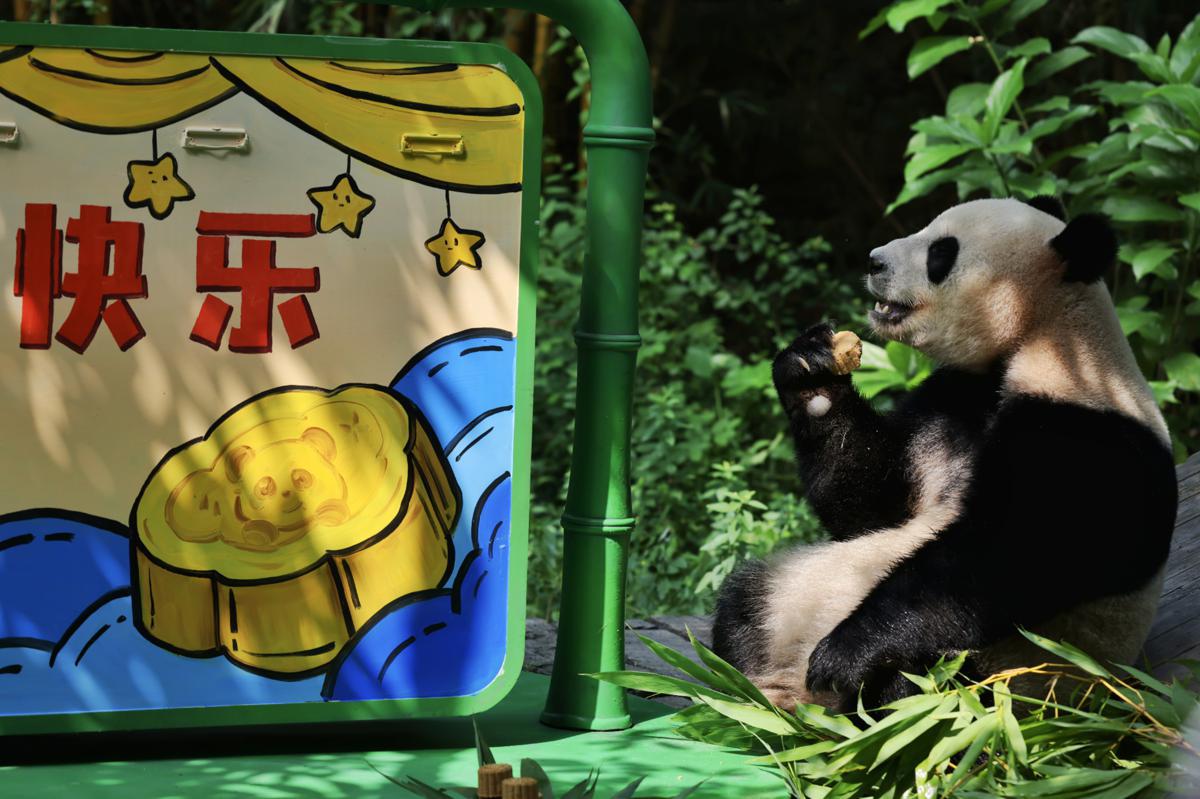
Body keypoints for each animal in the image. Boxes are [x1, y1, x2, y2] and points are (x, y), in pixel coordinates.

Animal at [712, 197, 1179, 712]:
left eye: (941, 253)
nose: (874, 261)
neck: (1045, 339)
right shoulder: (949, 399)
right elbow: (875, 506)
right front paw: (812, 369)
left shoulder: (1087, 436)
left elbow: (1011, 553)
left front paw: (843, 656)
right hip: (789, 591)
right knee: (743, 600)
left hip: (1006, 676)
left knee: (917, 684)